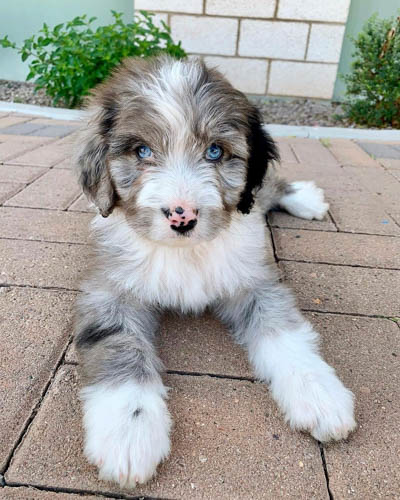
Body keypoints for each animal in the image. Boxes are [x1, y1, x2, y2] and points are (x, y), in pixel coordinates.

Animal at [73, 55, 354, 488]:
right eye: (142, 150)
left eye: (216, 152)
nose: (182, 216)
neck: (186, 253)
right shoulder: (108, 290)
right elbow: (119, 345)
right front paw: (129, 430)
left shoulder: (256, 280)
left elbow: (284, 332)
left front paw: (319, 393)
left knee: (271, 187)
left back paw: (306, 198)